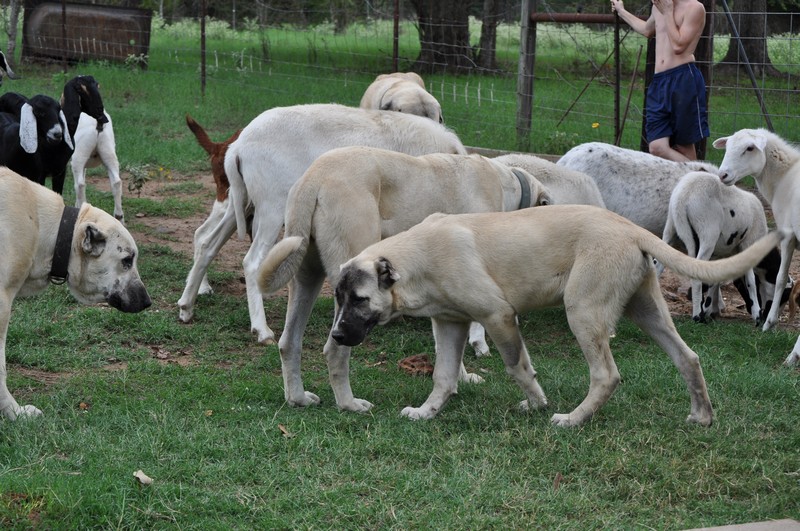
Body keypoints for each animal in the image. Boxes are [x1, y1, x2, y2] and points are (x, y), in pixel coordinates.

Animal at [256, 145, 552, 412]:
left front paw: (461, 377)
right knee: (334, 348)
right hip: (350, 284)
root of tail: (314, 177)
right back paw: (350, 404)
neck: (507, 184)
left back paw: (298, 398)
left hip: (305, 277)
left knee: (288, 342)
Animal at [330, 205, 780, 428]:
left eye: (359, 299)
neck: (418, 258)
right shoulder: (449, 323)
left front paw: (536, 404)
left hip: (582, 311)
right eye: (338, 298)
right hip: (648, 311)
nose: (336, 337)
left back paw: (572, 420)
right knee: (688, 358)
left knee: (606, 375)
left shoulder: (498, 316)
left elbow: (517, 367)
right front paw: (426, 413)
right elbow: (443, 376)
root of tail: (630, 228)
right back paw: (702, 416)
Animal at [660, 172, 764, 324]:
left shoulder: (718, 255)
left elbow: (714, 279)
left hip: (670, 227)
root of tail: (683, 196)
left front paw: (710, 309)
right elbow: (751, 281)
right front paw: (757, 314)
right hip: (708, 231)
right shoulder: (748, 245)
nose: (765, 313)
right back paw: (698, 316)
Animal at [716, 128, 800, 336]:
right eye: (727, 146)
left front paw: (769, 322)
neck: (784, 177)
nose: (722, 174)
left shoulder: (788, 235)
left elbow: (780, 278)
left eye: (749, 148)